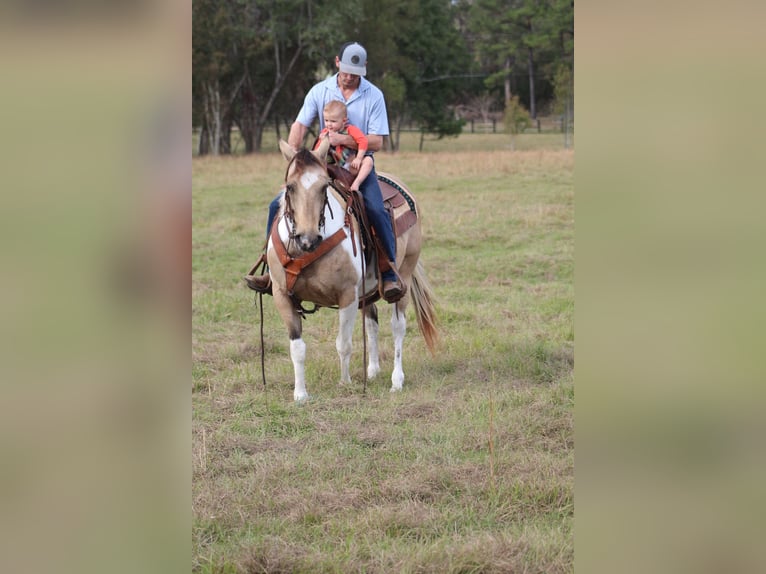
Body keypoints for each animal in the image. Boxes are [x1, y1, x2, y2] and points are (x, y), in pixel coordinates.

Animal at [268, 138, 438, 400]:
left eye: (324, 186)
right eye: (290, 186)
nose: (308, 239)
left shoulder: (347, 295)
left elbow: (344, 343)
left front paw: (345, 382)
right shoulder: (282, 295)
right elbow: (297, 347)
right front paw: (300, 394)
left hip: (404, 277)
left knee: (398, 327)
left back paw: (396, 380)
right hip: (367, 291)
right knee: (372, 322)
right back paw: (373, 370)